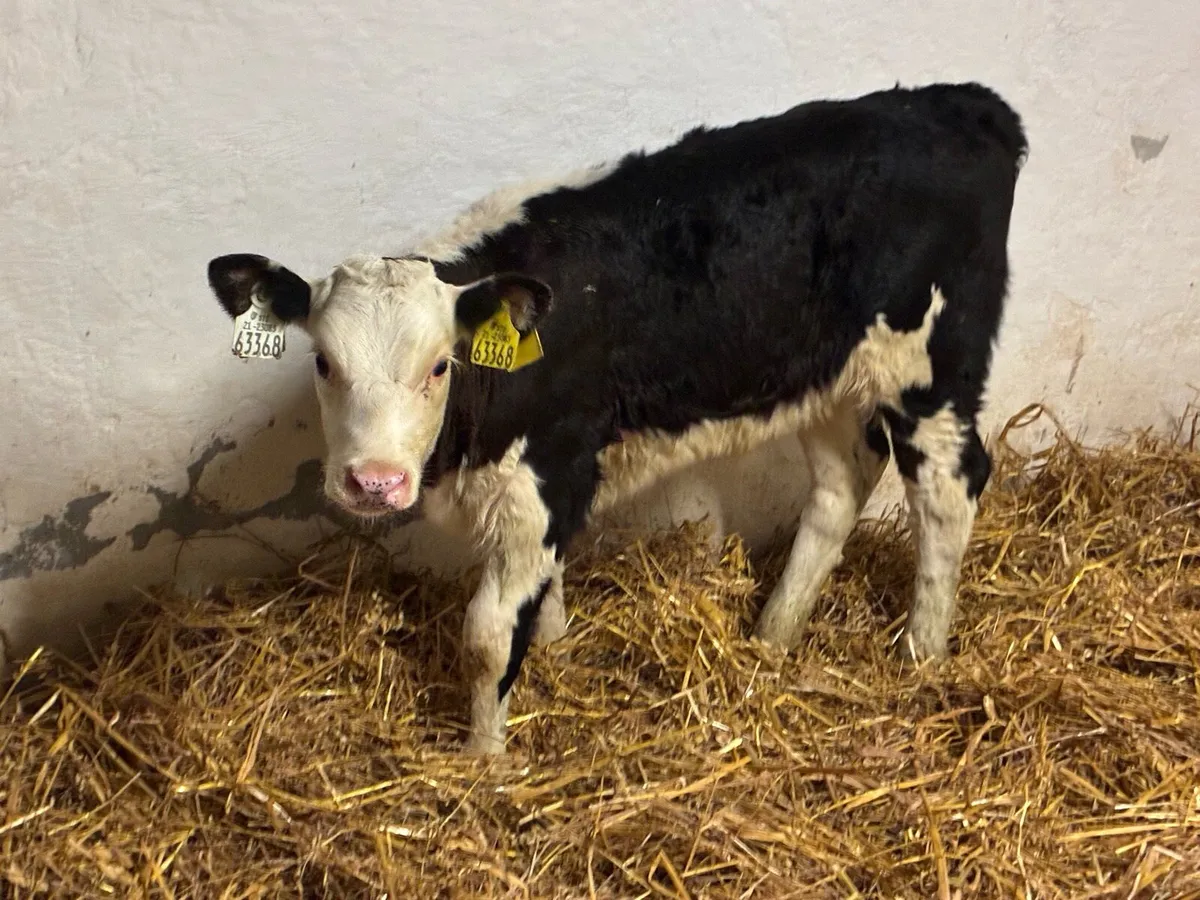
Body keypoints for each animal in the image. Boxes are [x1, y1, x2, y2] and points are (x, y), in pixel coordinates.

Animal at [206, 81, 1027, 754]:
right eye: (322, 362)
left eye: (439, 365)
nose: (373, 483)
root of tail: (962, 103)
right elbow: (543, 599)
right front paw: (556, 660)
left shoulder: (551, 468)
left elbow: (489, 634)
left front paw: (483, 762)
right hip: (821, 374)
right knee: (840, 484)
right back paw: (771, 638)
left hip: (935, 366)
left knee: (950, 489)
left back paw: (920, 656)